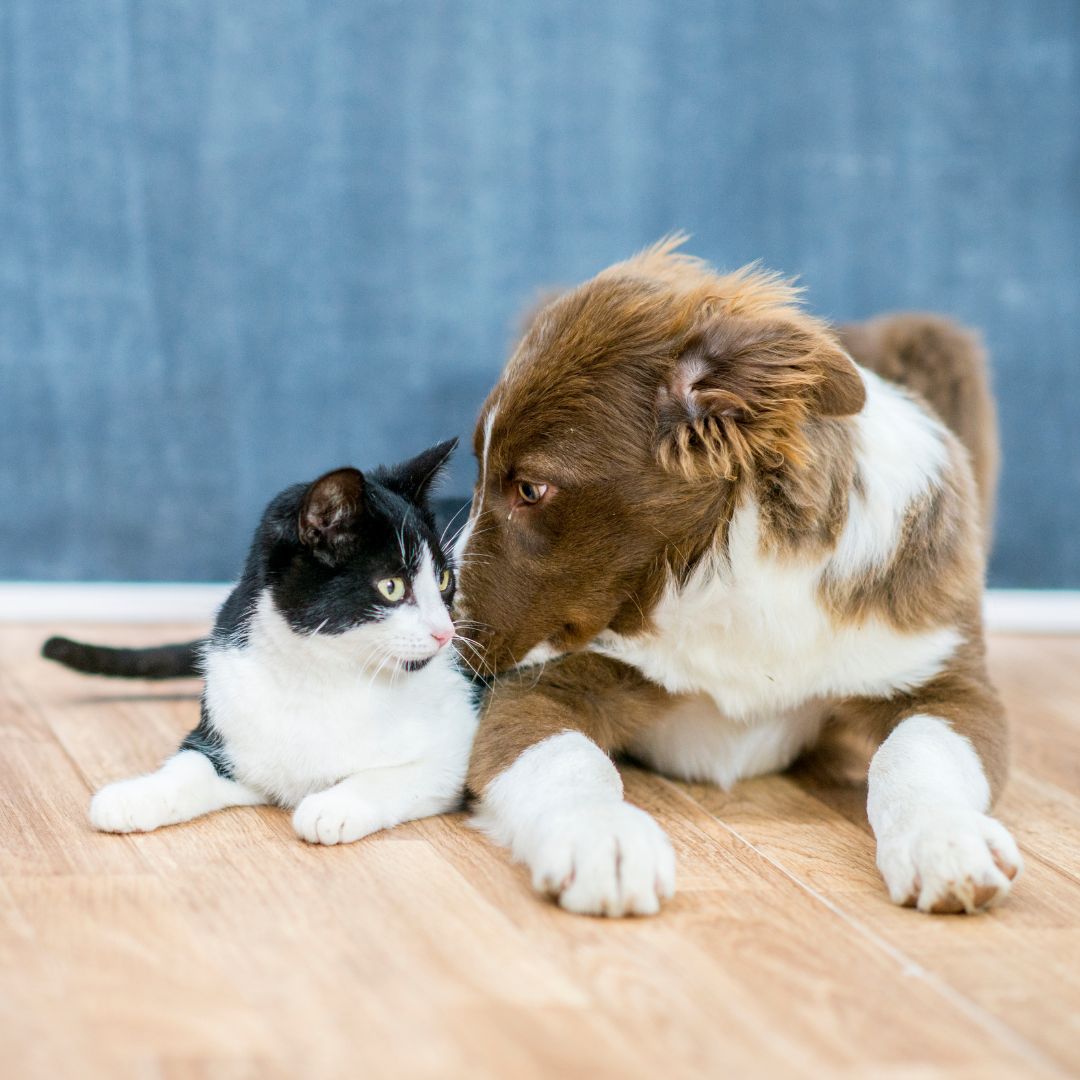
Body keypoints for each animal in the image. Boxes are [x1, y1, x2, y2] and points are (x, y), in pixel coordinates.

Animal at [49, 438, 481, 842]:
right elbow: (190, 766)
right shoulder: (229, 732)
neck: (320, 673)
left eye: (444, 579)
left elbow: (397, 774)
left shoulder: (457, 746)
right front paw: (134, 796)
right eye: (391, 586)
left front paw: (334, 807)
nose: (446, 632)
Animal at [455, 238, 1019, 920]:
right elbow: (563, 759)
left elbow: (916, 751)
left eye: (531, 489)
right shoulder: (544, 682)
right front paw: (601, 838)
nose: (440, 628)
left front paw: (946, 838)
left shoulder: (947, 679)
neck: (721, 578)